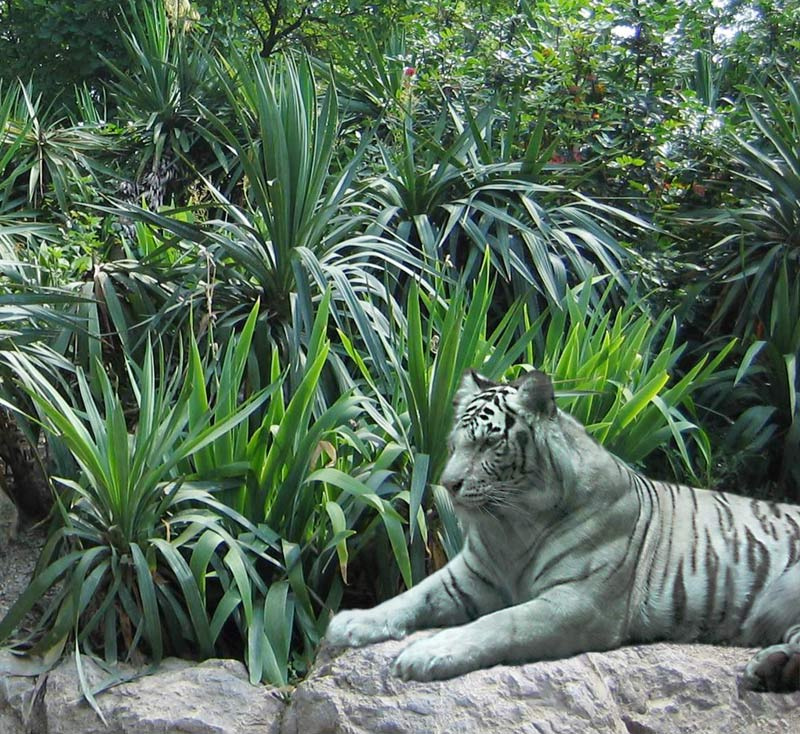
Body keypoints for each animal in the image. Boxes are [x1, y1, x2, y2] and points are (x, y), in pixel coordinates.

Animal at [325, 368, 800, 691]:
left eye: (490, 443)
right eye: (455, 443)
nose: (448, 484)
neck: (511, 527)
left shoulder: (578, 602)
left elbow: (502, 623)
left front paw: (427, 652)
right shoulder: (470, 575)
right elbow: (411, 596)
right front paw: (351, 622)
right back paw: (772, 668)